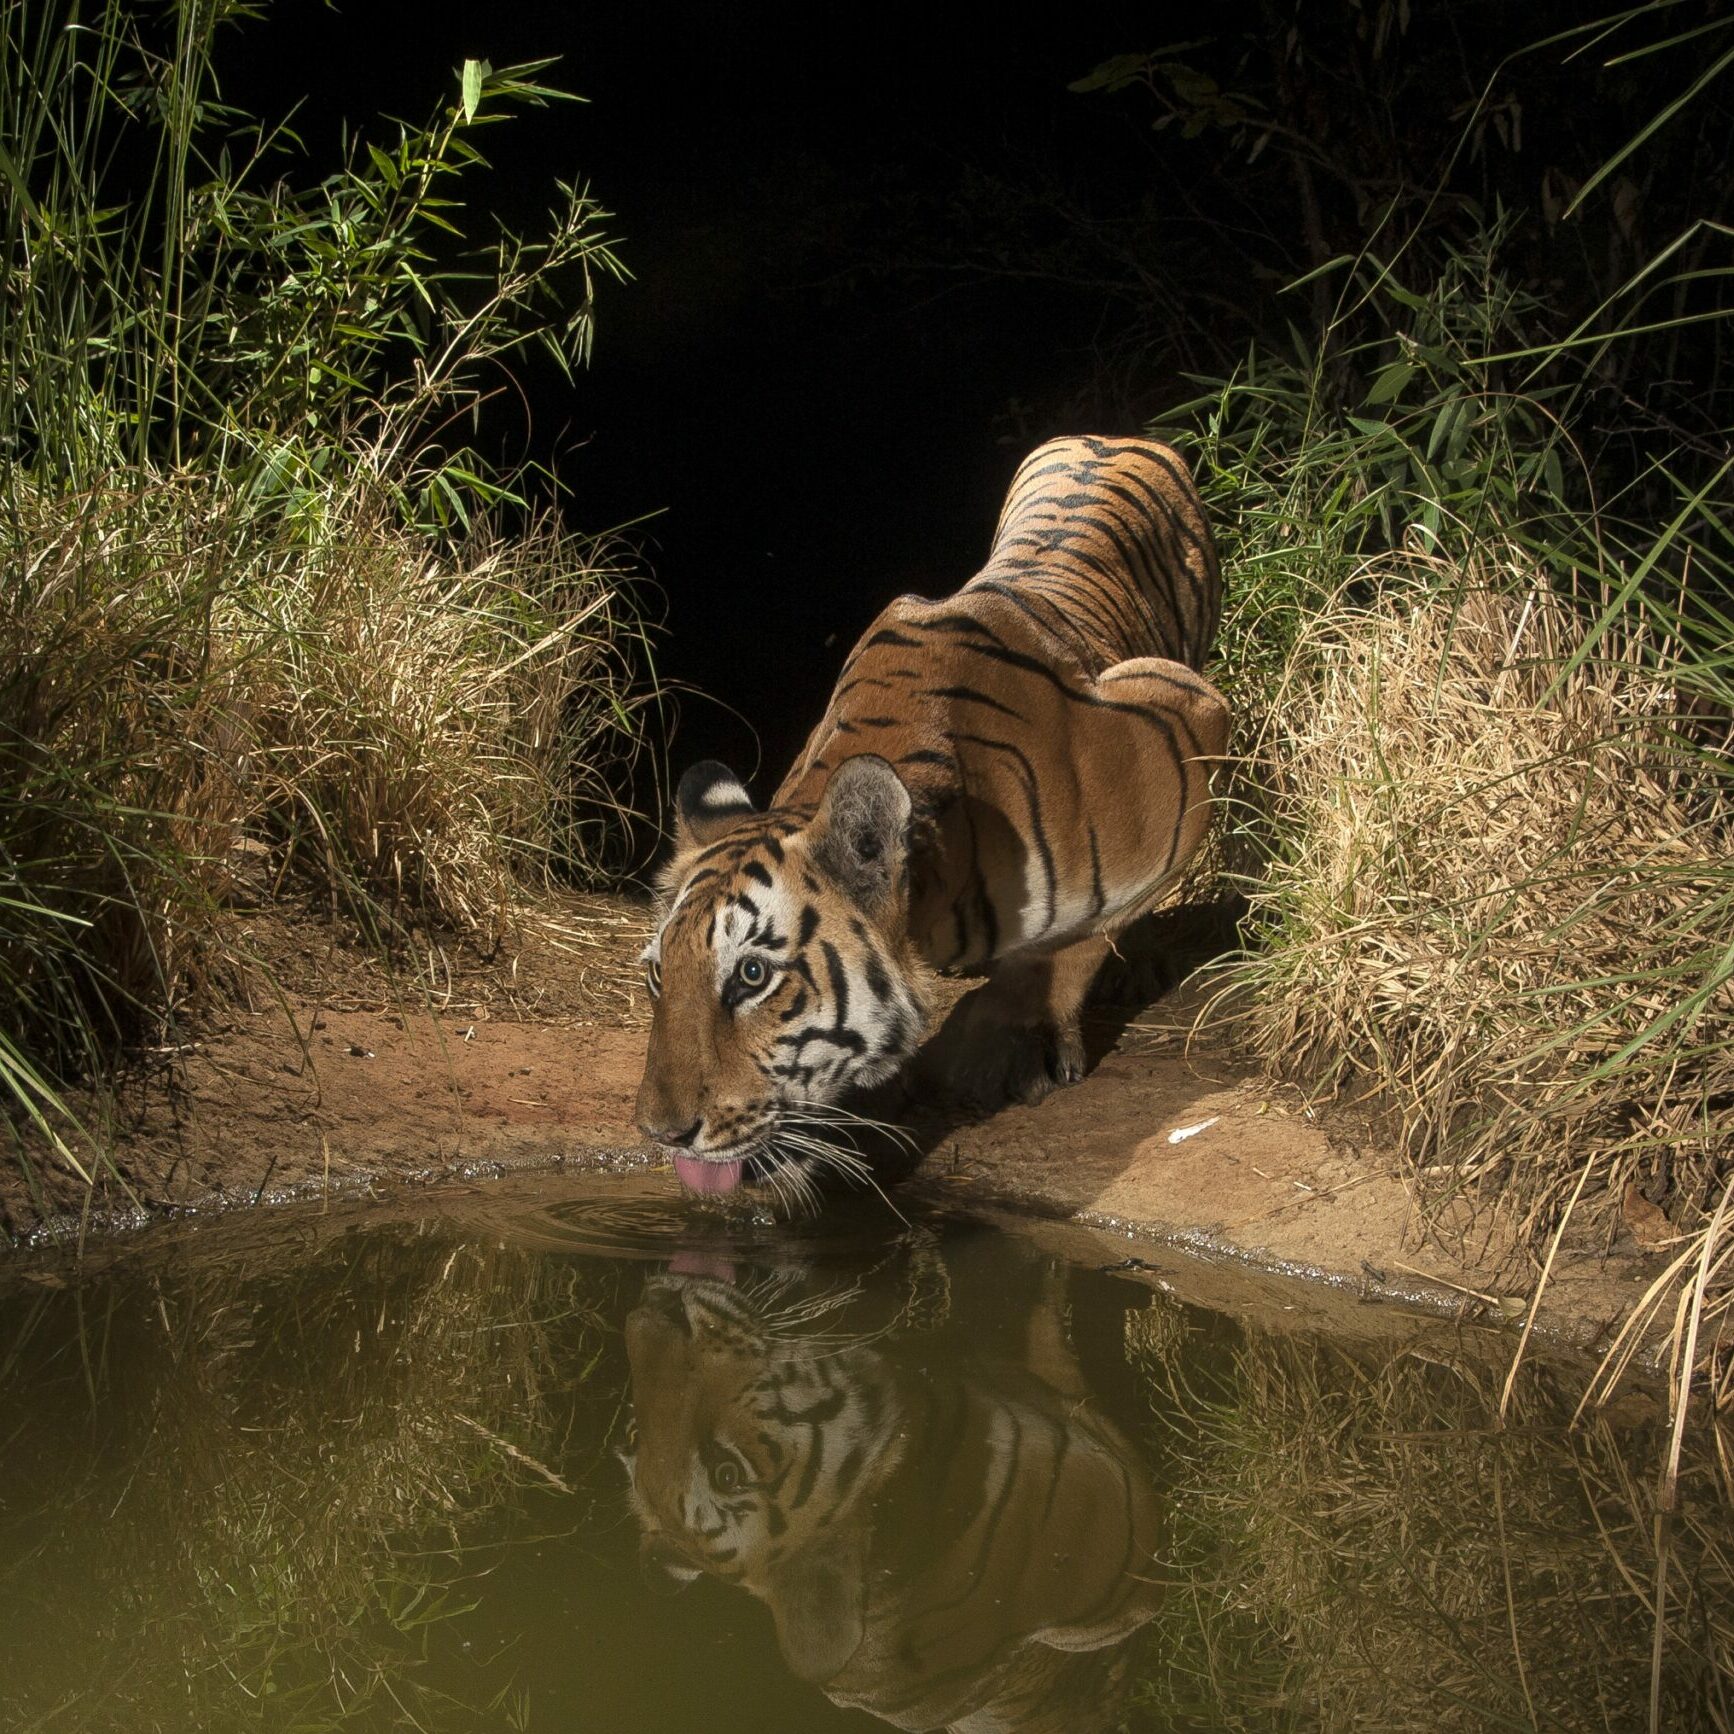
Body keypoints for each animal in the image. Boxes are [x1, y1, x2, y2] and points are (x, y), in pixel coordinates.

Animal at [631, 433, 1227, 1199]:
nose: (661, 1134)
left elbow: (1078, 941)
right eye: (657, 974)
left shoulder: (1188, 725)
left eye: (753, 976)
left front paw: (1007, 1049)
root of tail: (1118, 438)